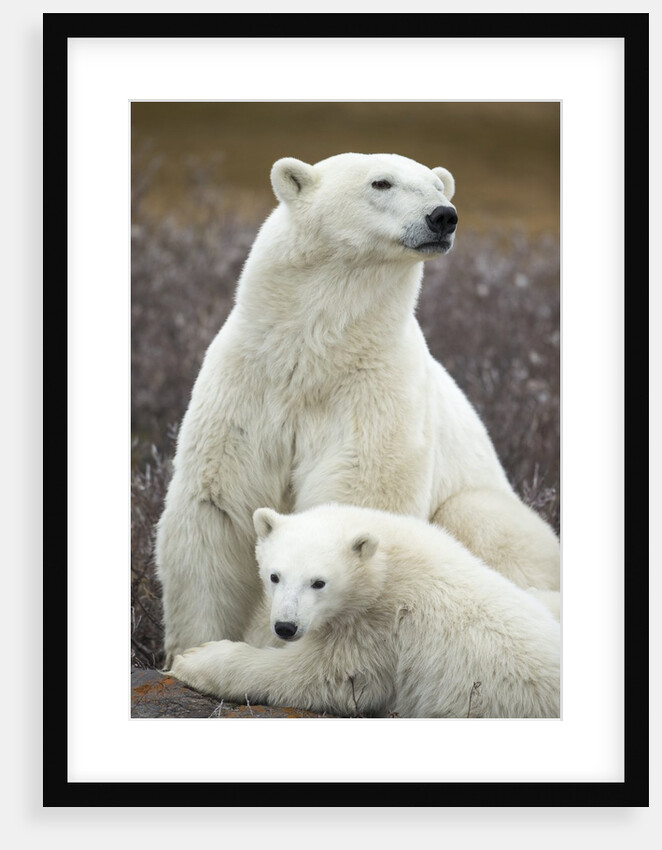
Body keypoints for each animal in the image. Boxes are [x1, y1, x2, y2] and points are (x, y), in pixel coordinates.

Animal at [155, 152, 560, 666]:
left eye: (437, 186)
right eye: (381, 182)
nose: (443, 216)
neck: (312, 354)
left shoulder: (373, 391)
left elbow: (356, 496)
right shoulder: (248, 384)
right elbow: (218, 506)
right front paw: (190, 651)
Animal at [167, 504, 561, 719]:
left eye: (319, 582)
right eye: (274, 575)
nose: (285, 627)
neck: (385, 562)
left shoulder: (381, 624)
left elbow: (327, 676)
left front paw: (195, 659)